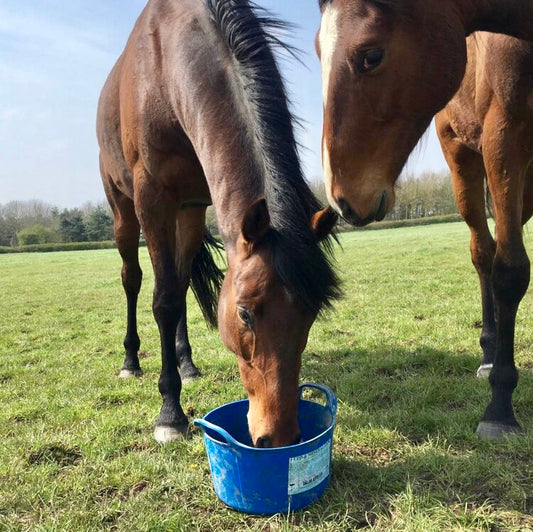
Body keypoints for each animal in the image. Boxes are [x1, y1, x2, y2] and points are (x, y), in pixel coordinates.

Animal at [316, 0, 532, 438]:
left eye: (370, 56)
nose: (341, 199)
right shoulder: (504, 135)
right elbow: (509, 271)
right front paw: (500, 408)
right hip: (463, 159)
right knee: (484, 253)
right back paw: (490, 353)